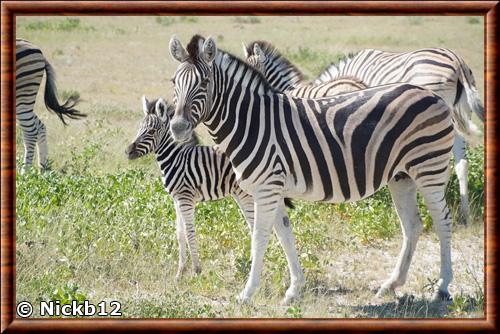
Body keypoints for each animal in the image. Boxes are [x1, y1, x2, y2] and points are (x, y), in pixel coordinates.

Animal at [16, 39, 85, 172]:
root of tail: (38, 50)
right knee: (40, 127)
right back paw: (41, 170)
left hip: (23, 95)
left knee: (31, 133)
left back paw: (25, 174)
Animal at [126, 96, 296, 280]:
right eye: (139, 128)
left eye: (151, 131)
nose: (128, 151)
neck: (176, 159)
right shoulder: (176, 199)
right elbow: (180, 234)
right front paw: (179, 273)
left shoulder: (186, 198)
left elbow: (189, 232)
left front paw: (196, 269)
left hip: (248, 195)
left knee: (255, 227)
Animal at [169, 34, 458, 306]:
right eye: (174, 82)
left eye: (204, 83)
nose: (178, 128)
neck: (251, 122)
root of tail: (430, 94)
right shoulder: (273, 188)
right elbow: (285, 235)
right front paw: (294, 289)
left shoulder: (266, 189)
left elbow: (259, 238)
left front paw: (247, 293)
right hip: (401, 176)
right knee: (412, 225)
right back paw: (390, 284)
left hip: (428, 167)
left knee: (442, 220)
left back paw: (442, 287)